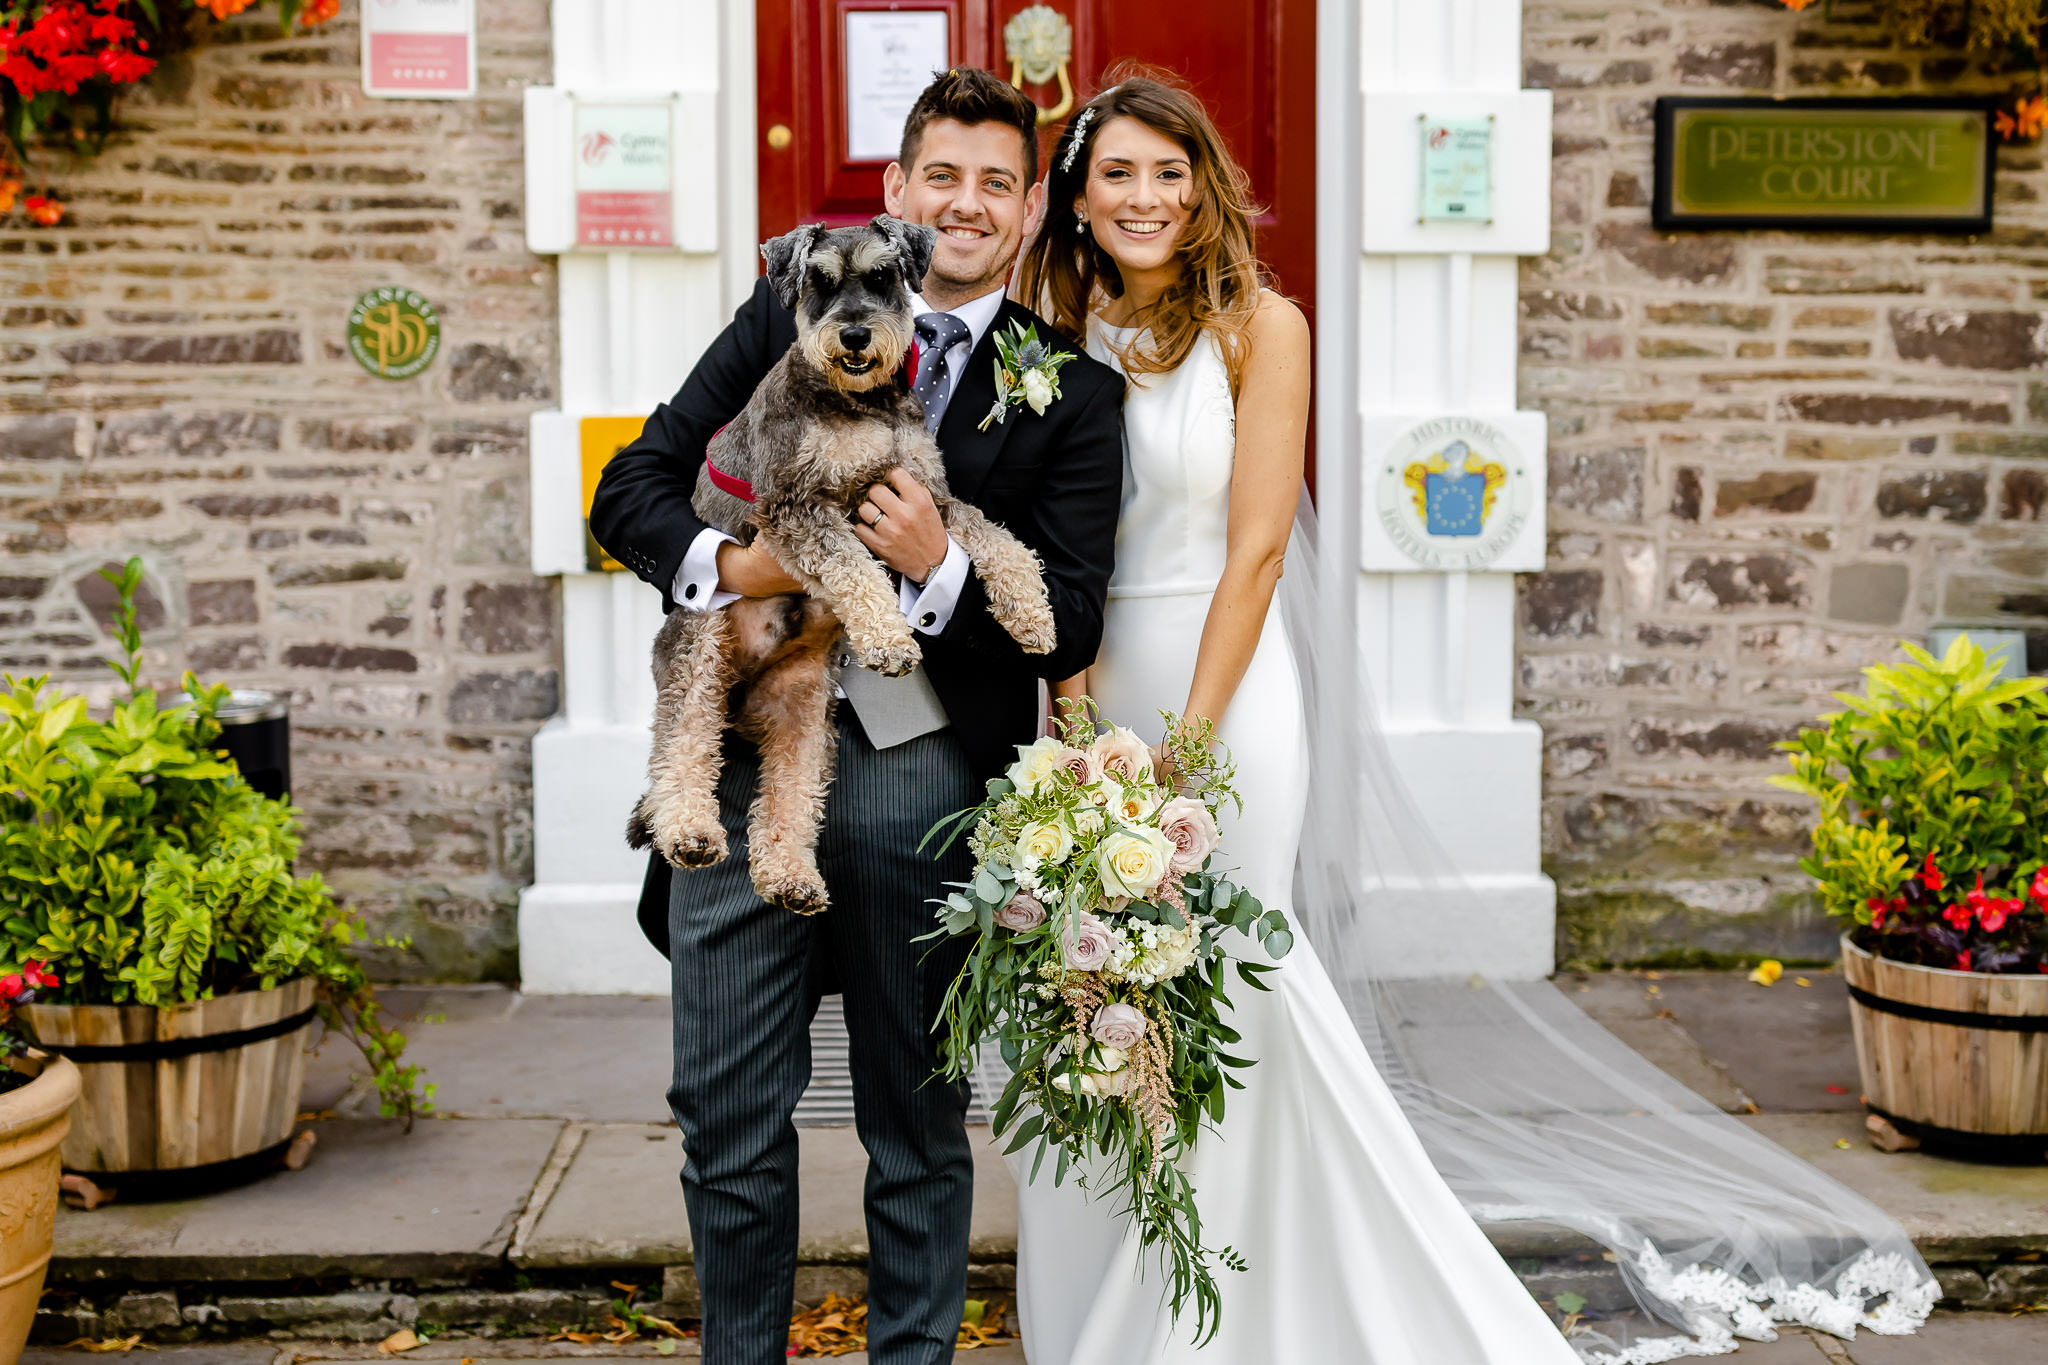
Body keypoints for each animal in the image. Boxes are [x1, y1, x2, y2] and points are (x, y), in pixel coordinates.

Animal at [622, 215, 1056, 916]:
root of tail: (743, 687)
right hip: (698, 649)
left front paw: (1032, 616)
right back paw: (689, 833)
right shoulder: (800, 508)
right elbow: (855, 568)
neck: (862, 403)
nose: (854, 335)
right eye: (818, 283)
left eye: (882, 275)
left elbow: (997, 539)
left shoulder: (930, 497)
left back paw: (790, 879)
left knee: (791, 794)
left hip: (801, 709)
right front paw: (889, 639)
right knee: (680, 748)